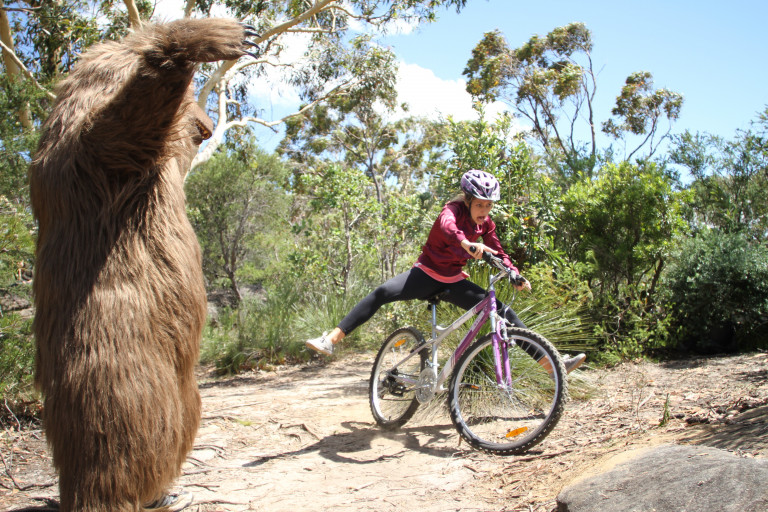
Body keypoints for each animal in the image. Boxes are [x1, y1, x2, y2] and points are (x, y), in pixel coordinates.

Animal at [28, 18, 253, 511]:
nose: (207, 127)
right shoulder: (88, 144)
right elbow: (114, 128)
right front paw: (212, 38)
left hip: (179, 390)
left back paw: (165, 492)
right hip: (124, 374)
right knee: (126, 441)